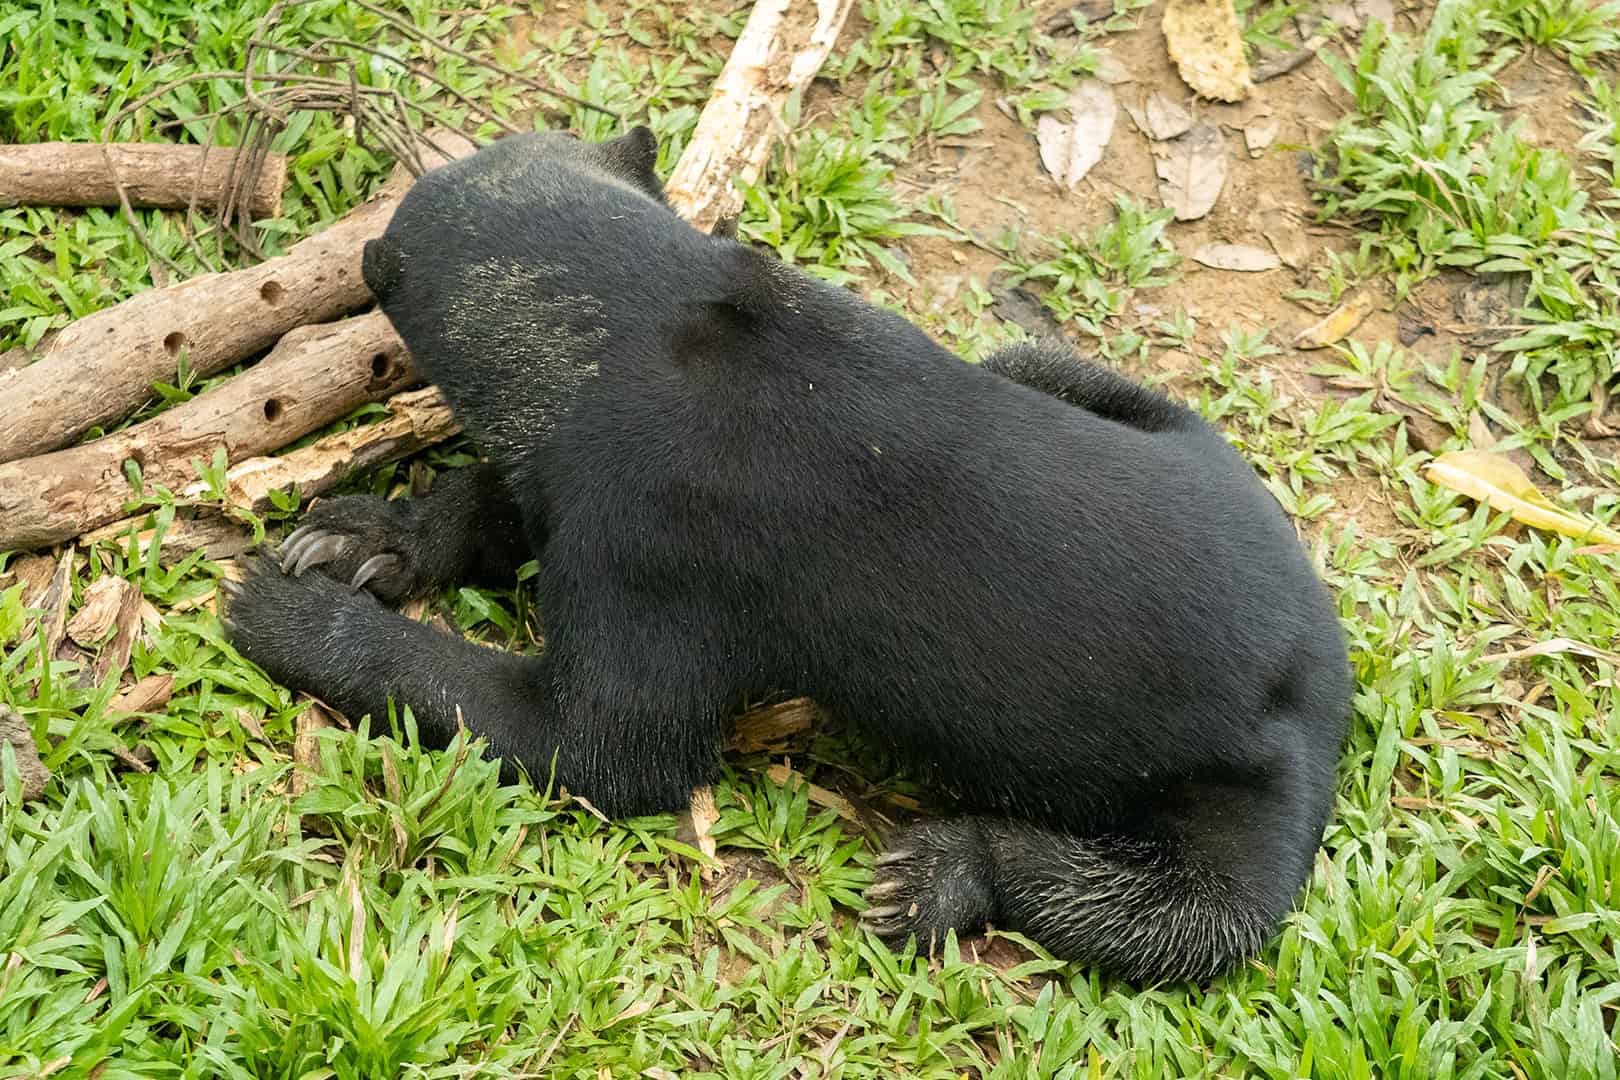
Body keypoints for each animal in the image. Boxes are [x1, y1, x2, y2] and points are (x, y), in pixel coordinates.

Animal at [223, 126, 1352, 982]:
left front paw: (279, 610)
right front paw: (359, 537)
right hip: (1075, 383)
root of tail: (1329, 674)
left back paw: (931, 875)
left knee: (1187, 918)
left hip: (1247, 817)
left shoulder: (644, 560)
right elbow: (494, 507)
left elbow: (589, 740)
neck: (648, 318)